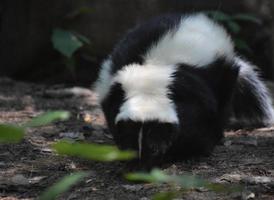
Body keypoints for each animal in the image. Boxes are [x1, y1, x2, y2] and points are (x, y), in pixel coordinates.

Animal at [93, 12, 274, 162]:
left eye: (155, 147)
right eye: (130, 145)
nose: (140, 167)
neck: (148, 86)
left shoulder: (192, 95)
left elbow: (196, 124)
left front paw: (192, 151)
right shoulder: (114, 95)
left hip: (224, 74)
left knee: (222, 106)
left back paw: (218, 136)